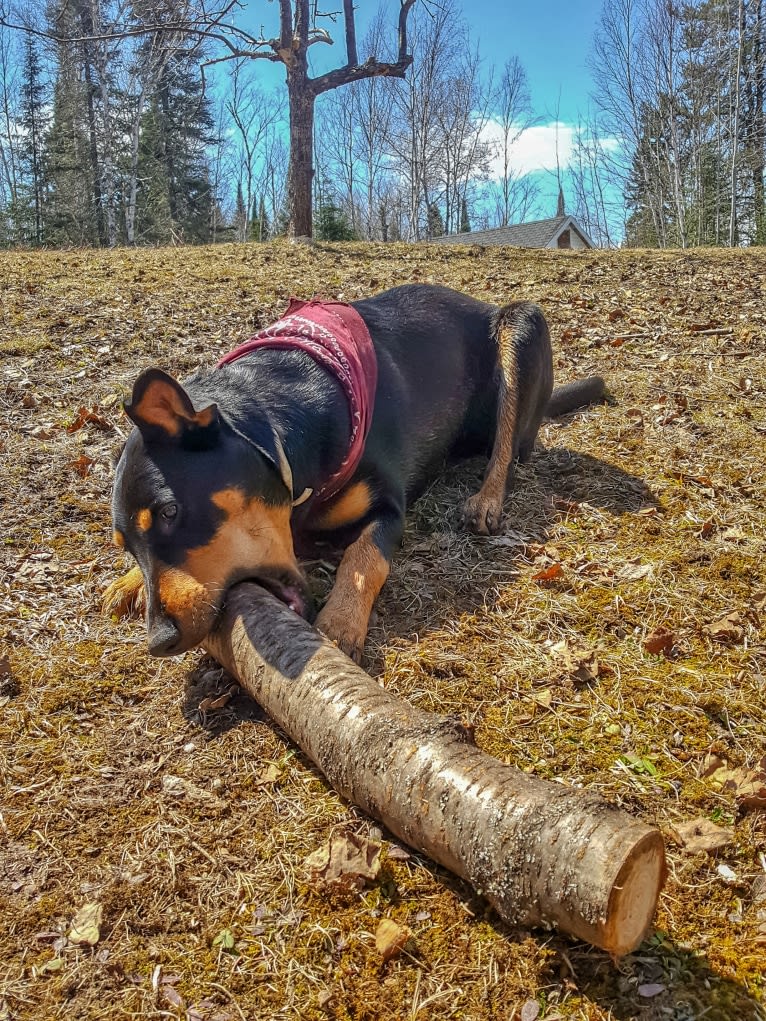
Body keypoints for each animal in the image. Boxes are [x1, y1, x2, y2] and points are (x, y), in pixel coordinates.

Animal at [105, 283, 604, 661]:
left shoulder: (388, 507)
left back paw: (486, 498)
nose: (159, 642)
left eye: (170, 512)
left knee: (509, 446)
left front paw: (341, 621)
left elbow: (364, 557)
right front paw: (128, 580)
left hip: (520, 326)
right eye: (125, 545)